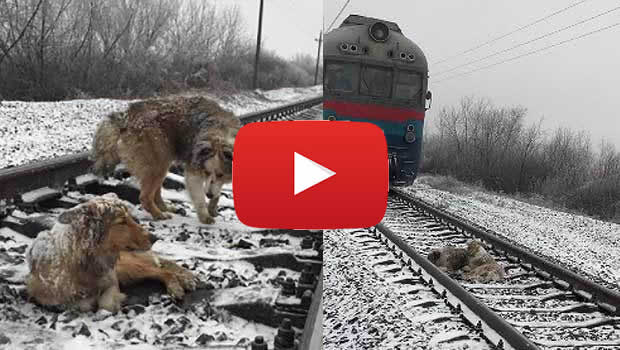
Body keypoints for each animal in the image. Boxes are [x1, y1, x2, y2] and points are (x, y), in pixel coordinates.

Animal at [26, 196, 196, 314]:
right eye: (122, 222)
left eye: (130, 218)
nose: (155, 238)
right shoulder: (49, 297)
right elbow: (81, 304)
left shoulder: (112, 279)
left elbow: (106, 304)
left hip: (127, 268)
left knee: (163, 270)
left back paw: (179, 285)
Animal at [91, 96, 241, 224]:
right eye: (206, 172)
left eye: (221, 174)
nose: (208, 195)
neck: (221, 134)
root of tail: (126, 117)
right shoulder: (194, 170)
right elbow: (199, 196)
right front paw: (205, 215)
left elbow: (217, 190)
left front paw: (213, 206)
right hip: (158, 162)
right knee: (145, 197)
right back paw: (159, 214)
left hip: (162, 161)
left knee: (156, 193)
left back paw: (166, 208)